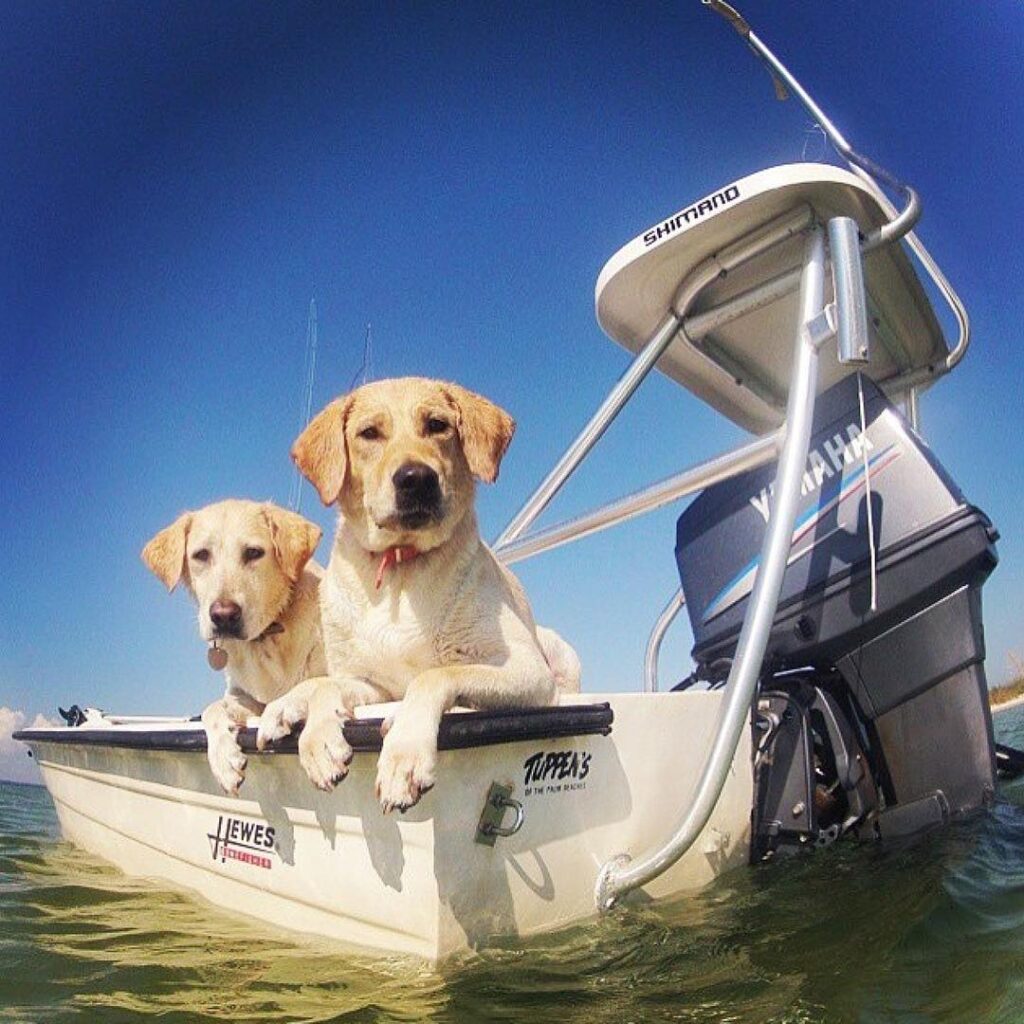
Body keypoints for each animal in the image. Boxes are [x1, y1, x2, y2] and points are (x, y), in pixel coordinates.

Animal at [143, 499, 323, 794]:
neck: (267, 637)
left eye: (253, 552)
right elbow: (212, 709)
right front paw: (224, 759)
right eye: (201, 555)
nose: (223, 615)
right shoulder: (245, 697)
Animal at [256, 374, 581, 806]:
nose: (416, 478)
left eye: (437, 425)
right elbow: (326, 685)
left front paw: (404, 757)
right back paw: (282, 708)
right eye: (369, 433)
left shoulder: (526, 668)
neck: (400, 569)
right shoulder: (371, 682)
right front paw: (320, 742)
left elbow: (434, 676)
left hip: (559, 654)